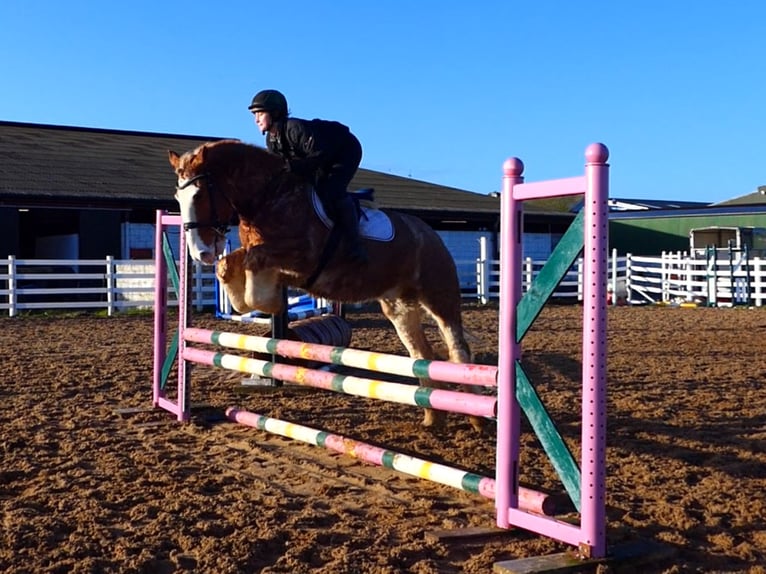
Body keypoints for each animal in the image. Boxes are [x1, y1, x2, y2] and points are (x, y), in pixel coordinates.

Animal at [168, 139, 483, 431]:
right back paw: (433, 416)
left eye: (199, 194)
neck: (270, 197)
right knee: (421, 354)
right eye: (177, 197)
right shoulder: (269, 258)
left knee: (458, 349)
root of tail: (430, 234)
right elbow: (229, 266)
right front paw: (246, 298)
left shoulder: (301, 257)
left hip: (438, 297)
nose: (200, 253)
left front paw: (266, 301)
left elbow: (255, 270)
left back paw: (476, 417)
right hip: (398, 307)